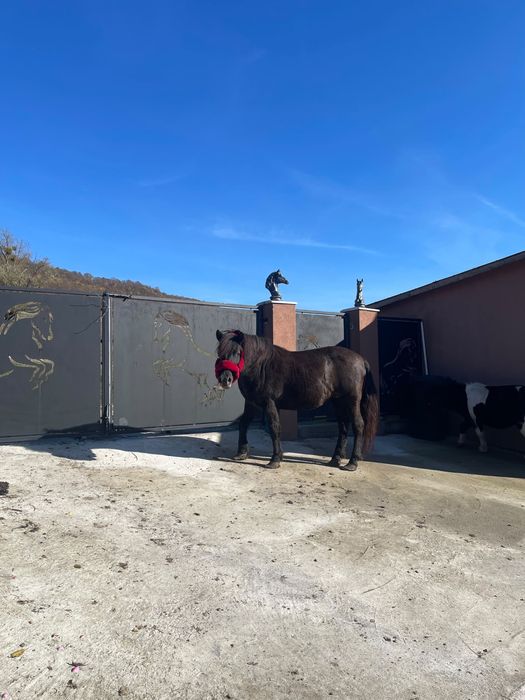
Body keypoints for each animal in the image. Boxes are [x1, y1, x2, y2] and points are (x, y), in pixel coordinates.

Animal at [215, 329, 379, 471]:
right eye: (219, 352)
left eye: (237, 352)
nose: (225, 379)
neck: (261, 365)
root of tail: (360, 359)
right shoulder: (252, 403)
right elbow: (244, 423)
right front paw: (241, 453)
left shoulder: (269, 403)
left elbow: (274, 428)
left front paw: (274, 460)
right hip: (338, 401)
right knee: (343, 426)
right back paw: (335, 459)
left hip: (351, 400)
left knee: (358, 425)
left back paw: (352, 462)